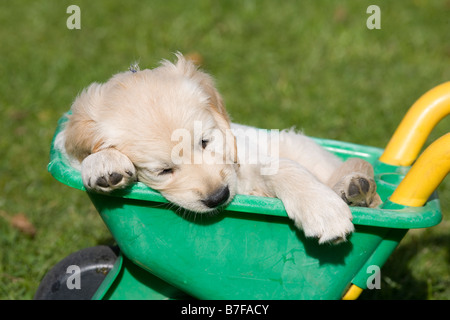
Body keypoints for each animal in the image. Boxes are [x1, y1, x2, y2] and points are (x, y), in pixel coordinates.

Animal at [59, 53, 380, 242]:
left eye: (205, 141)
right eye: (163, 171)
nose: (218, 197)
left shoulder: (243, 160)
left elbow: (277, 166)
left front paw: (321, 208)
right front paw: (103, 164)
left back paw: (355, 188)